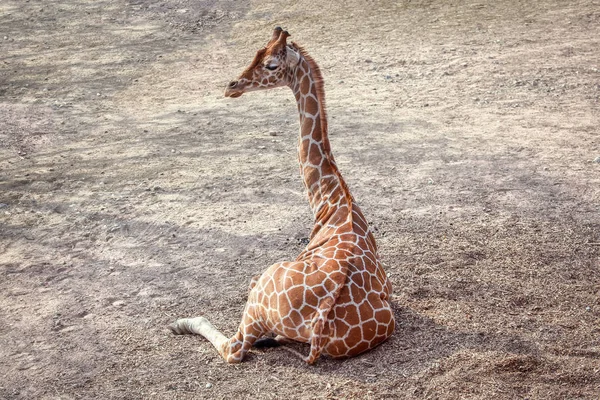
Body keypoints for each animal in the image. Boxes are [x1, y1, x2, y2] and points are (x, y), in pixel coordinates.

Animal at [170, 28, 394, 366]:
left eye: (271, 65)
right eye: (256, 52)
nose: (231, 86)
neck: (332, 201)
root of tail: (321, 325)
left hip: (262, 290)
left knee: (234, 348)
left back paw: (181, 322)